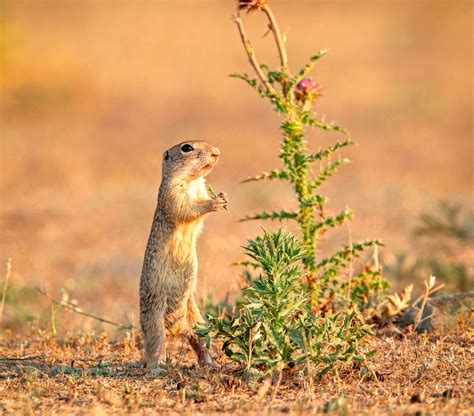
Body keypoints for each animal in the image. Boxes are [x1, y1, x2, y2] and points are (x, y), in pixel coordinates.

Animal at [138, 140, 227, 368]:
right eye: (187, 148)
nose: (217, 152)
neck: (192, 181)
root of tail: (178, 327)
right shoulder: (172, 193)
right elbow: (188, 208)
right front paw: (215, 202)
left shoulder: (200, 189)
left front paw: (223, 198)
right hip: (154, 318)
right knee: (154, 345)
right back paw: (154, 368)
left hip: (197, 320)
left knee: (199, 341)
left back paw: (210, 363)